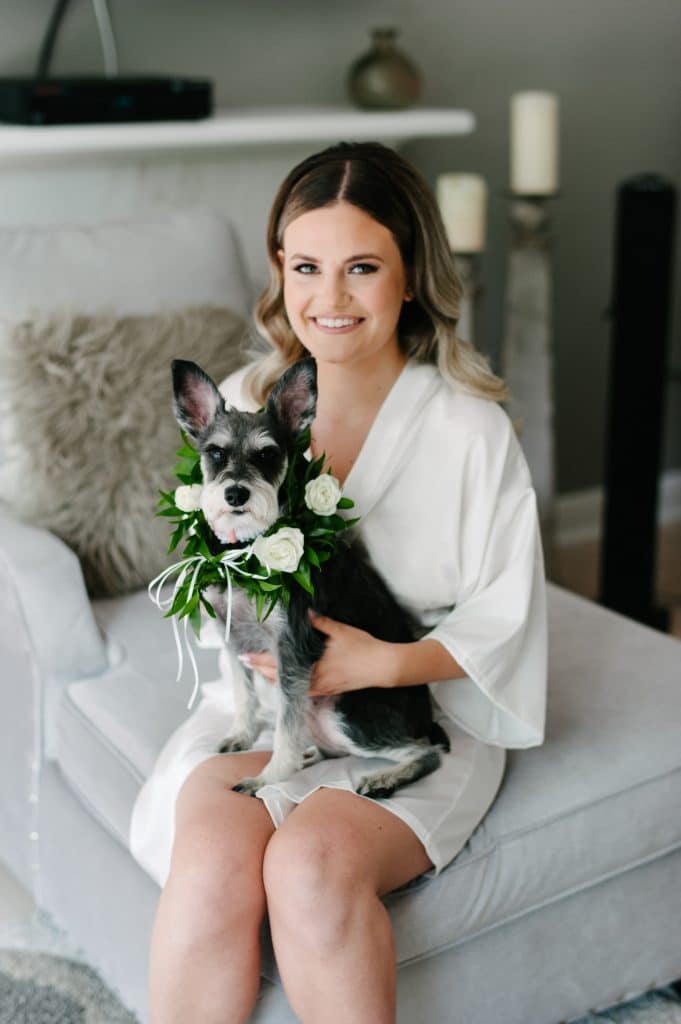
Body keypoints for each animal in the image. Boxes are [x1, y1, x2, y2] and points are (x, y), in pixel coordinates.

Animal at [169, 358, 448, 798]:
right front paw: (242, 735)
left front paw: (268, 777)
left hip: (348, 712)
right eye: (215, 452)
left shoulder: (292, 649)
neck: (246, 549)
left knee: (425, 750)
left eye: (268, 454)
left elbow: (285, 724)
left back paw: (382, 778)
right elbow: (243, 694)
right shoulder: (233, 637)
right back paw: (313, 756)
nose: (236, 495)